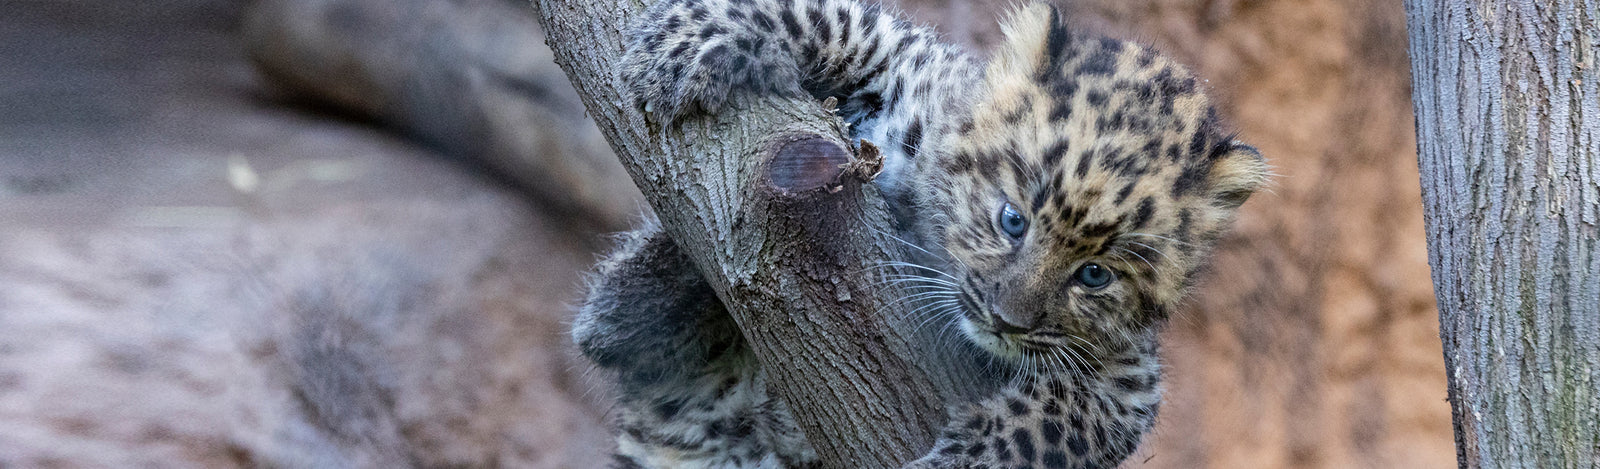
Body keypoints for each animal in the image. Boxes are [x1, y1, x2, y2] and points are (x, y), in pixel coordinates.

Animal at [572, 0, 1269, 467]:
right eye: (1012, 220)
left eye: (1095, 275)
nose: (1006, 320)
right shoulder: (914, 72)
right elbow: (844, 21)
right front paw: (688, 44)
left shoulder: (1128, 380)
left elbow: (1062, 421)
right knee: (606, 330)